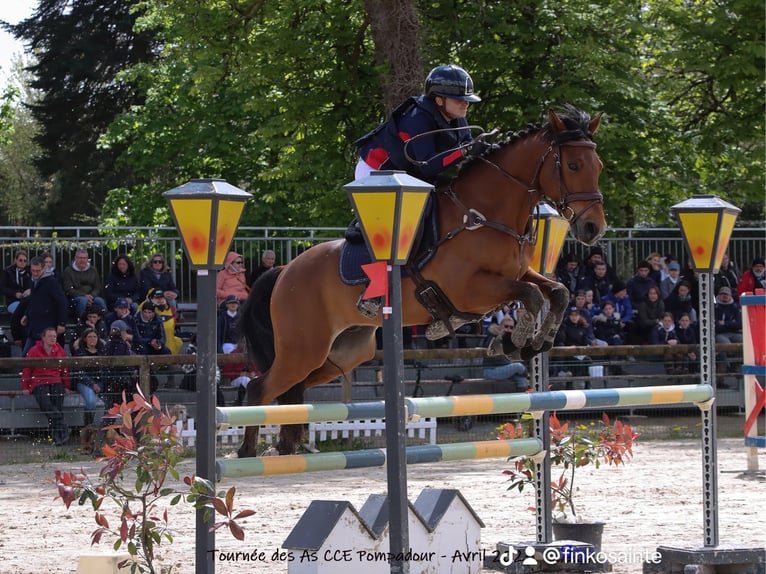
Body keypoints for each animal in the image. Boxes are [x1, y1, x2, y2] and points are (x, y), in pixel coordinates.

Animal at [237, 104, 608, 460]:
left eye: (599, 165)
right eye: (573, 165)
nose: (593, 228)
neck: (486, 214)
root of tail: (285, 270)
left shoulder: (516, 274)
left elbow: (557, 292)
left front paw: (534, 342)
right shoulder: (469, 290)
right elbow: (532, 296)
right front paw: (516, 341)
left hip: (344, 352)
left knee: (294, 389)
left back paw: (282, 447)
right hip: (303, 348)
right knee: (260, 388)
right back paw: (246, 452)